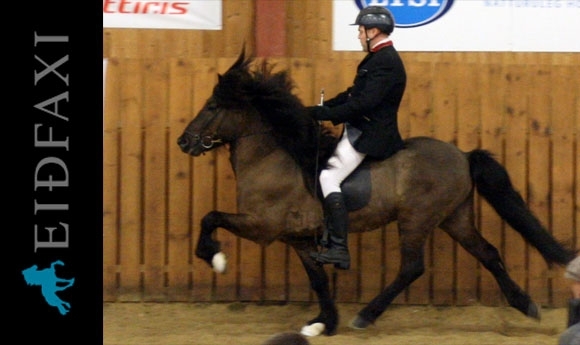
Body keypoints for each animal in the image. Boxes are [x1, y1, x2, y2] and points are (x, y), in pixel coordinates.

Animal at [177, 49, 576, 338]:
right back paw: (526, 305)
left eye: (212, 107)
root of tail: (463, 155)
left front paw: (214, 258)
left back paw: (367, 315)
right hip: (454, 217)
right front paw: (323, 322)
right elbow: (318, 279)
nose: (184, 142)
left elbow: (210, 217)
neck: (273, 154)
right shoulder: (298, 238)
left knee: (412, 267)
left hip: (417, 219)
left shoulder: (263, 226)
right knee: (489, 253)